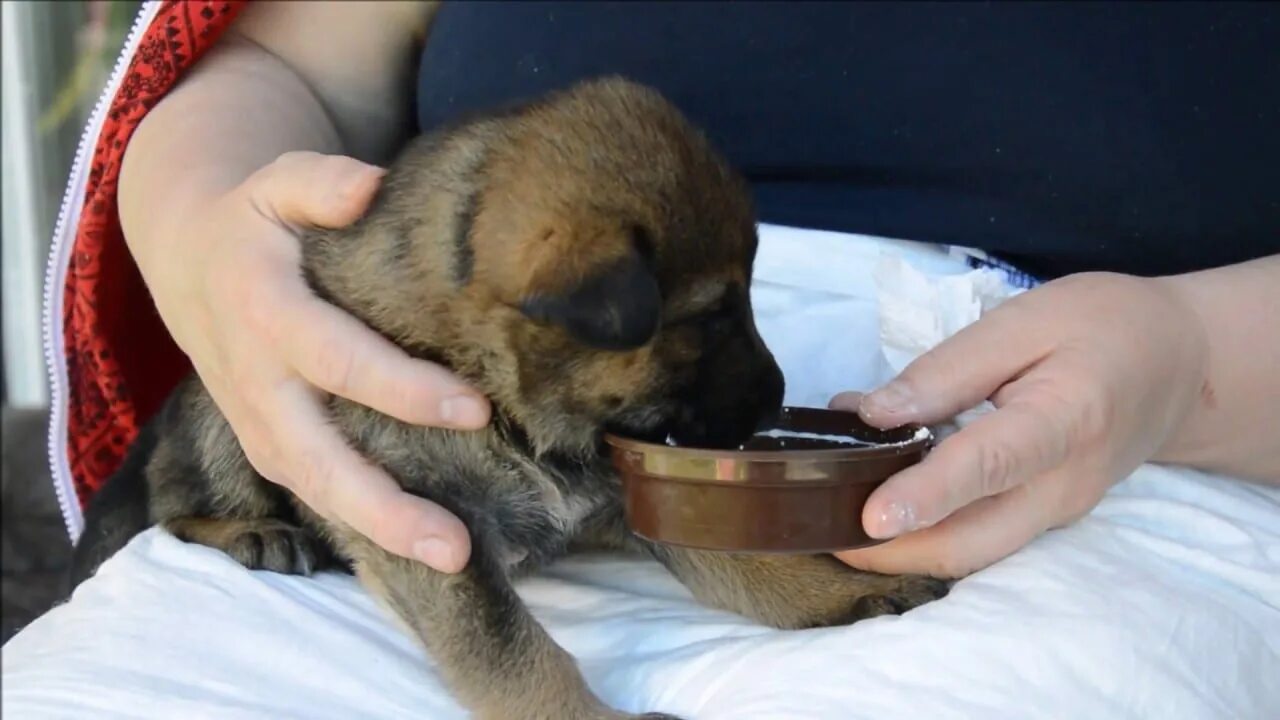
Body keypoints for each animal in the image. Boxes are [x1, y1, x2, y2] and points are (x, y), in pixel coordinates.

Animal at [72, 77, 952, 717]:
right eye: (710, 316)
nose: (775, 402)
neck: (507, 406)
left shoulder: (641, 488)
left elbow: (749, 564)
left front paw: (835, 588)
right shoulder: (431, 532)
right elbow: (515, 655)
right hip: (224, 419)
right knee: (174, 501)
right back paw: (250, 530)